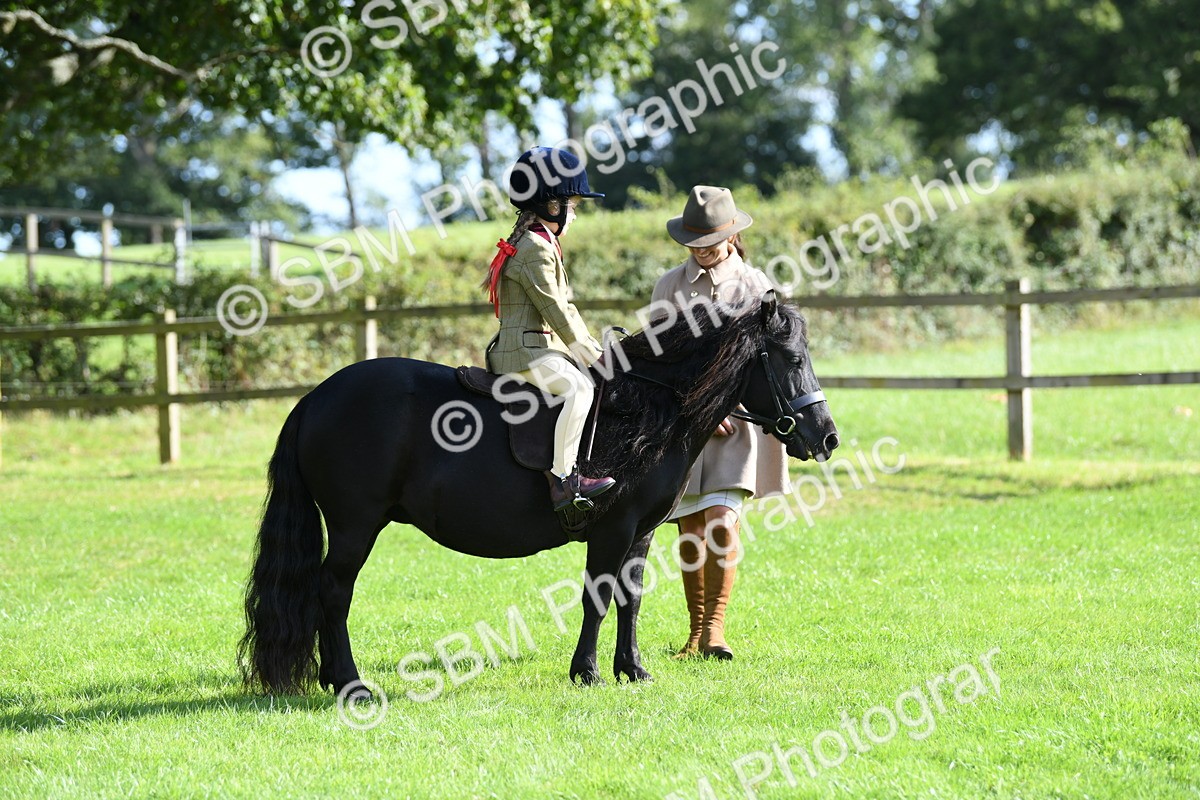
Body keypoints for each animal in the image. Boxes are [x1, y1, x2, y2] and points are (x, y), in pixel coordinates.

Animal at [238, 293, 840, 698]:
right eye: (791, 360)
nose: (827, 437)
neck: (647, 407)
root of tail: (316, 396)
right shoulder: (611, 529)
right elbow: (599, 597)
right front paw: (588, 673)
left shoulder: (640, 532)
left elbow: (631, 598)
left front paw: (632, 669)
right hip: (354, 526)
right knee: (333, 591)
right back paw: (349, 683)